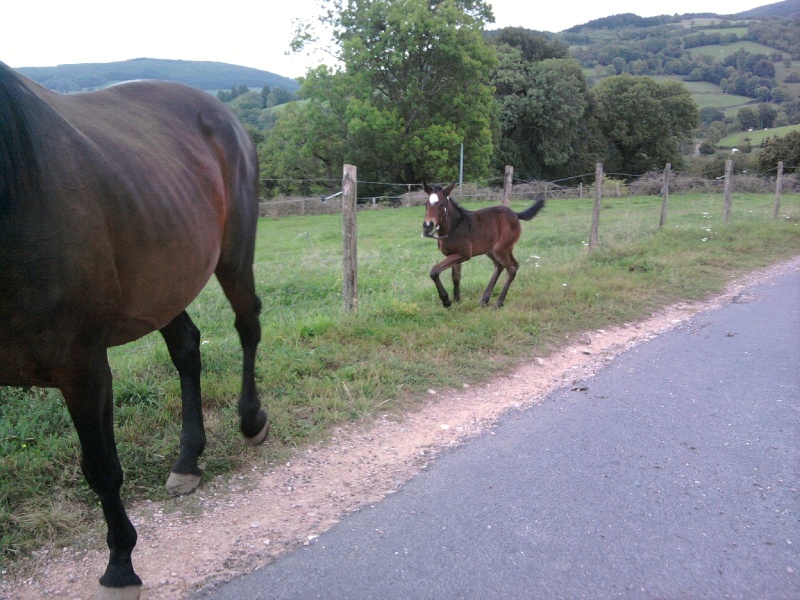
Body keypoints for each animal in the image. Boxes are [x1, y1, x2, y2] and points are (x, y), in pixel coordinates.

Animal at [0, 62, 268, 600]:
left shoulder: (82, 368)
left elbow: (102, 468)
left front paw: (120, 565)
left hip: (233, 257)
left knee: (247, 324)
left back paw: (251, 420)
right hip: (164, 284)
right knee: (187, 349)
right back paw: (187, 461)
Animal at [424, 180, 544, 308]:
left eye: (442, 205)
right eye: (426, 204)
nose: (427, 225)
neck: (454, 226)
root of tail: (515, 214)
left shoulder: (464, 254)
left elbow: (434, 271)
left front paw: (446, 300)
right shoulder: (453, 254)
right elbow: (456, 276)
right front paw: (457, 300)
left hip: (501, 249)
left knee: (512, 268)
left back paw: (499, 302)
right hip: (491, 250)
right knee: (499, 266)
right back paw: (484, 299)